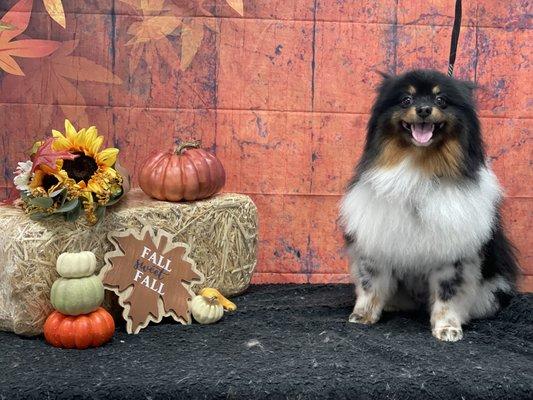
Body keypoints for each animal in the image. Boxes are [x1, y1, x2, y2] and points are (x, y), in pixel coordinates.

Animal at [338, 69, 516, 340]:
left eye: (441, 100)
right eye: (406, 100)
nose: (423, 109)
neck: (419, 165)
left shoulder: (453, 256)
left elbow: (447, 294)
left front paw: (447, 327)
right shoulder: (375, 244)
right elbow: (371, 284)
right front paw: (363, 315)